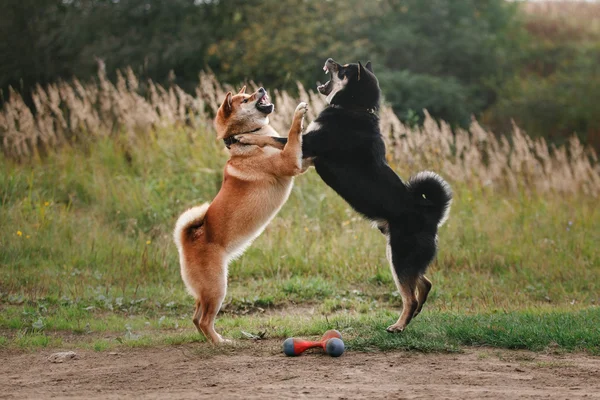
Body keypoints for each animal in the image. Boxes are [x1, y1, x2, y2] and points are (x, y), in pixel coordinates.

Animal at [171, 87, 308, 344]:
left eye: (250, 92)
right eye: (245, 99)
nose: (261, 89)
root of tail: (187, 239)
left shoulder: (300, 160)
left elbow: (282, 139)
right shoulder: (290, 162)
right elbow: (292, 134)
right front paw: (298, 114)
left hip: (207, 292)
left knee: (196, 317)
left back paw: (211, 341)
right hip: (217, 288)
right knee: (204, 320)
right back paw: (220, 343)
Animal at [237, 59, 452, 332]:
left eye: (342, 68)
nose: (329, 61)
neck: (354, 108)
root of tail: (432, 214)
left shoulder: (306, 148)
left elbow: (272, 138)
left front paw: (244, 136)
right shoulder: (306, 159)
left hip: (399, 257)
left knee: (410, 296)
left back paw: (399, 326)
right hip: (399, 256)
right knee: (423, 284)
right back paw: (413, 316)